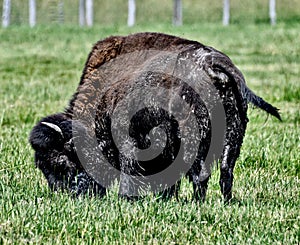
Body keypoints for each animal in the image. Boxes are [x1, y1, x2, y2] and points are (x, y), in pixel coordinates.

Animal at [29, 31, 280, 202]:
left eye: (62, 163)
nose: (66, 196)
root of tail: (212, 64)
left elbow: (130, 168)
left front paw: (126, 198)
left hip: (194, 138)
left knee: (200, 174)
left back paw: (197, 202)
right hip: (234, 136)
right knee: (226, 172)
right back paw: (223, 201)